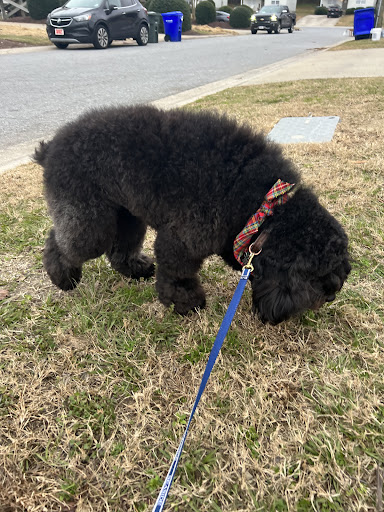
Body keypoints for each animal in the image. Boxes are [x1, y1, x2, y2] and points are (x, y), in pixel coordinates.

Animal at [35, 105, 352, 324]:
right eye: (315, 277)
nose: (331, 295)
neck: (259, 205)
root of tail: (50, 148)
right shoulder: (181, 241)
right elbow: (178, 275)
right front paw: (187, 304)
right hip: (90, 219)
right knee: (61, 242)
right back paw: (64, 279)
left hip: (124, 214)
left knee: (119, 248)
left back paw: (136, 269)